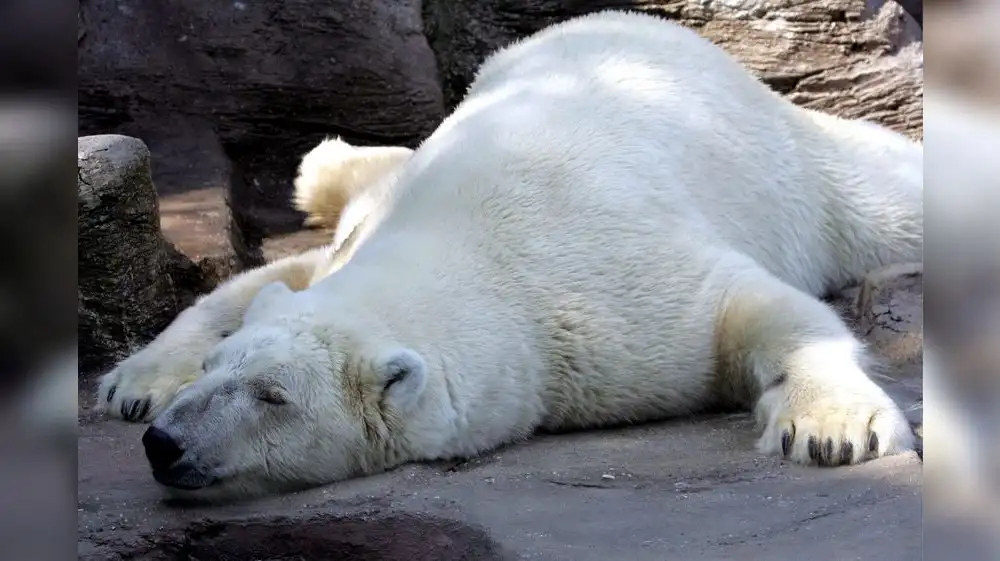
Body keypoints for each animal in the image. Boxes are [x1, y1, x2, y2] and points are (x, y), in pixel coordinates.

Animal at [135, 9, 922, 501]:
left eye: (275, 397)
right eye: (215, 370)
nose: (163, 442)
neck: (472, 247)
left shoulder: (617, 302)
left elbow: (753, 306)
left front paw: (833, 430)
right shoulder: (368, 241)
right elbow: (268, 281)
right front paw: (139, 382)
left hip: (794, 168)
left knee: (883, 201)